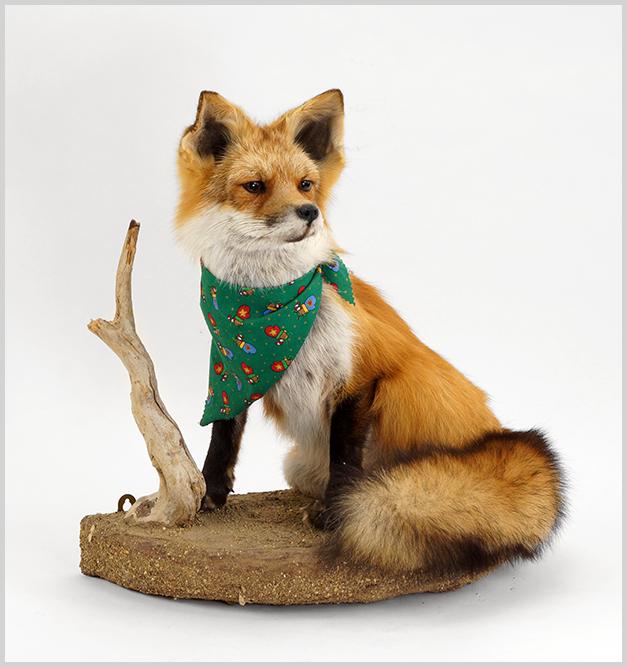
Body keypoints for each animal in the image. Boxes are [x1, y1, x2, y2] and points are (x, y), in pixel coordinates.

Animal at [174, 89, 565, 577]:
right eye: (255, 186)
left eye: (305, 184)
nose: (310, 213)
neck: (267, 310)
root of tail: (495, 434)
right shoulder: (231, 370)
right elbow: (223, 437)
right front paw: (209, 493)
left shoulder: (361, 376)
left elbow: (344, 456)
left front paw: (336, 513)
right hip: (298, 462)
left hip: (407, 387)